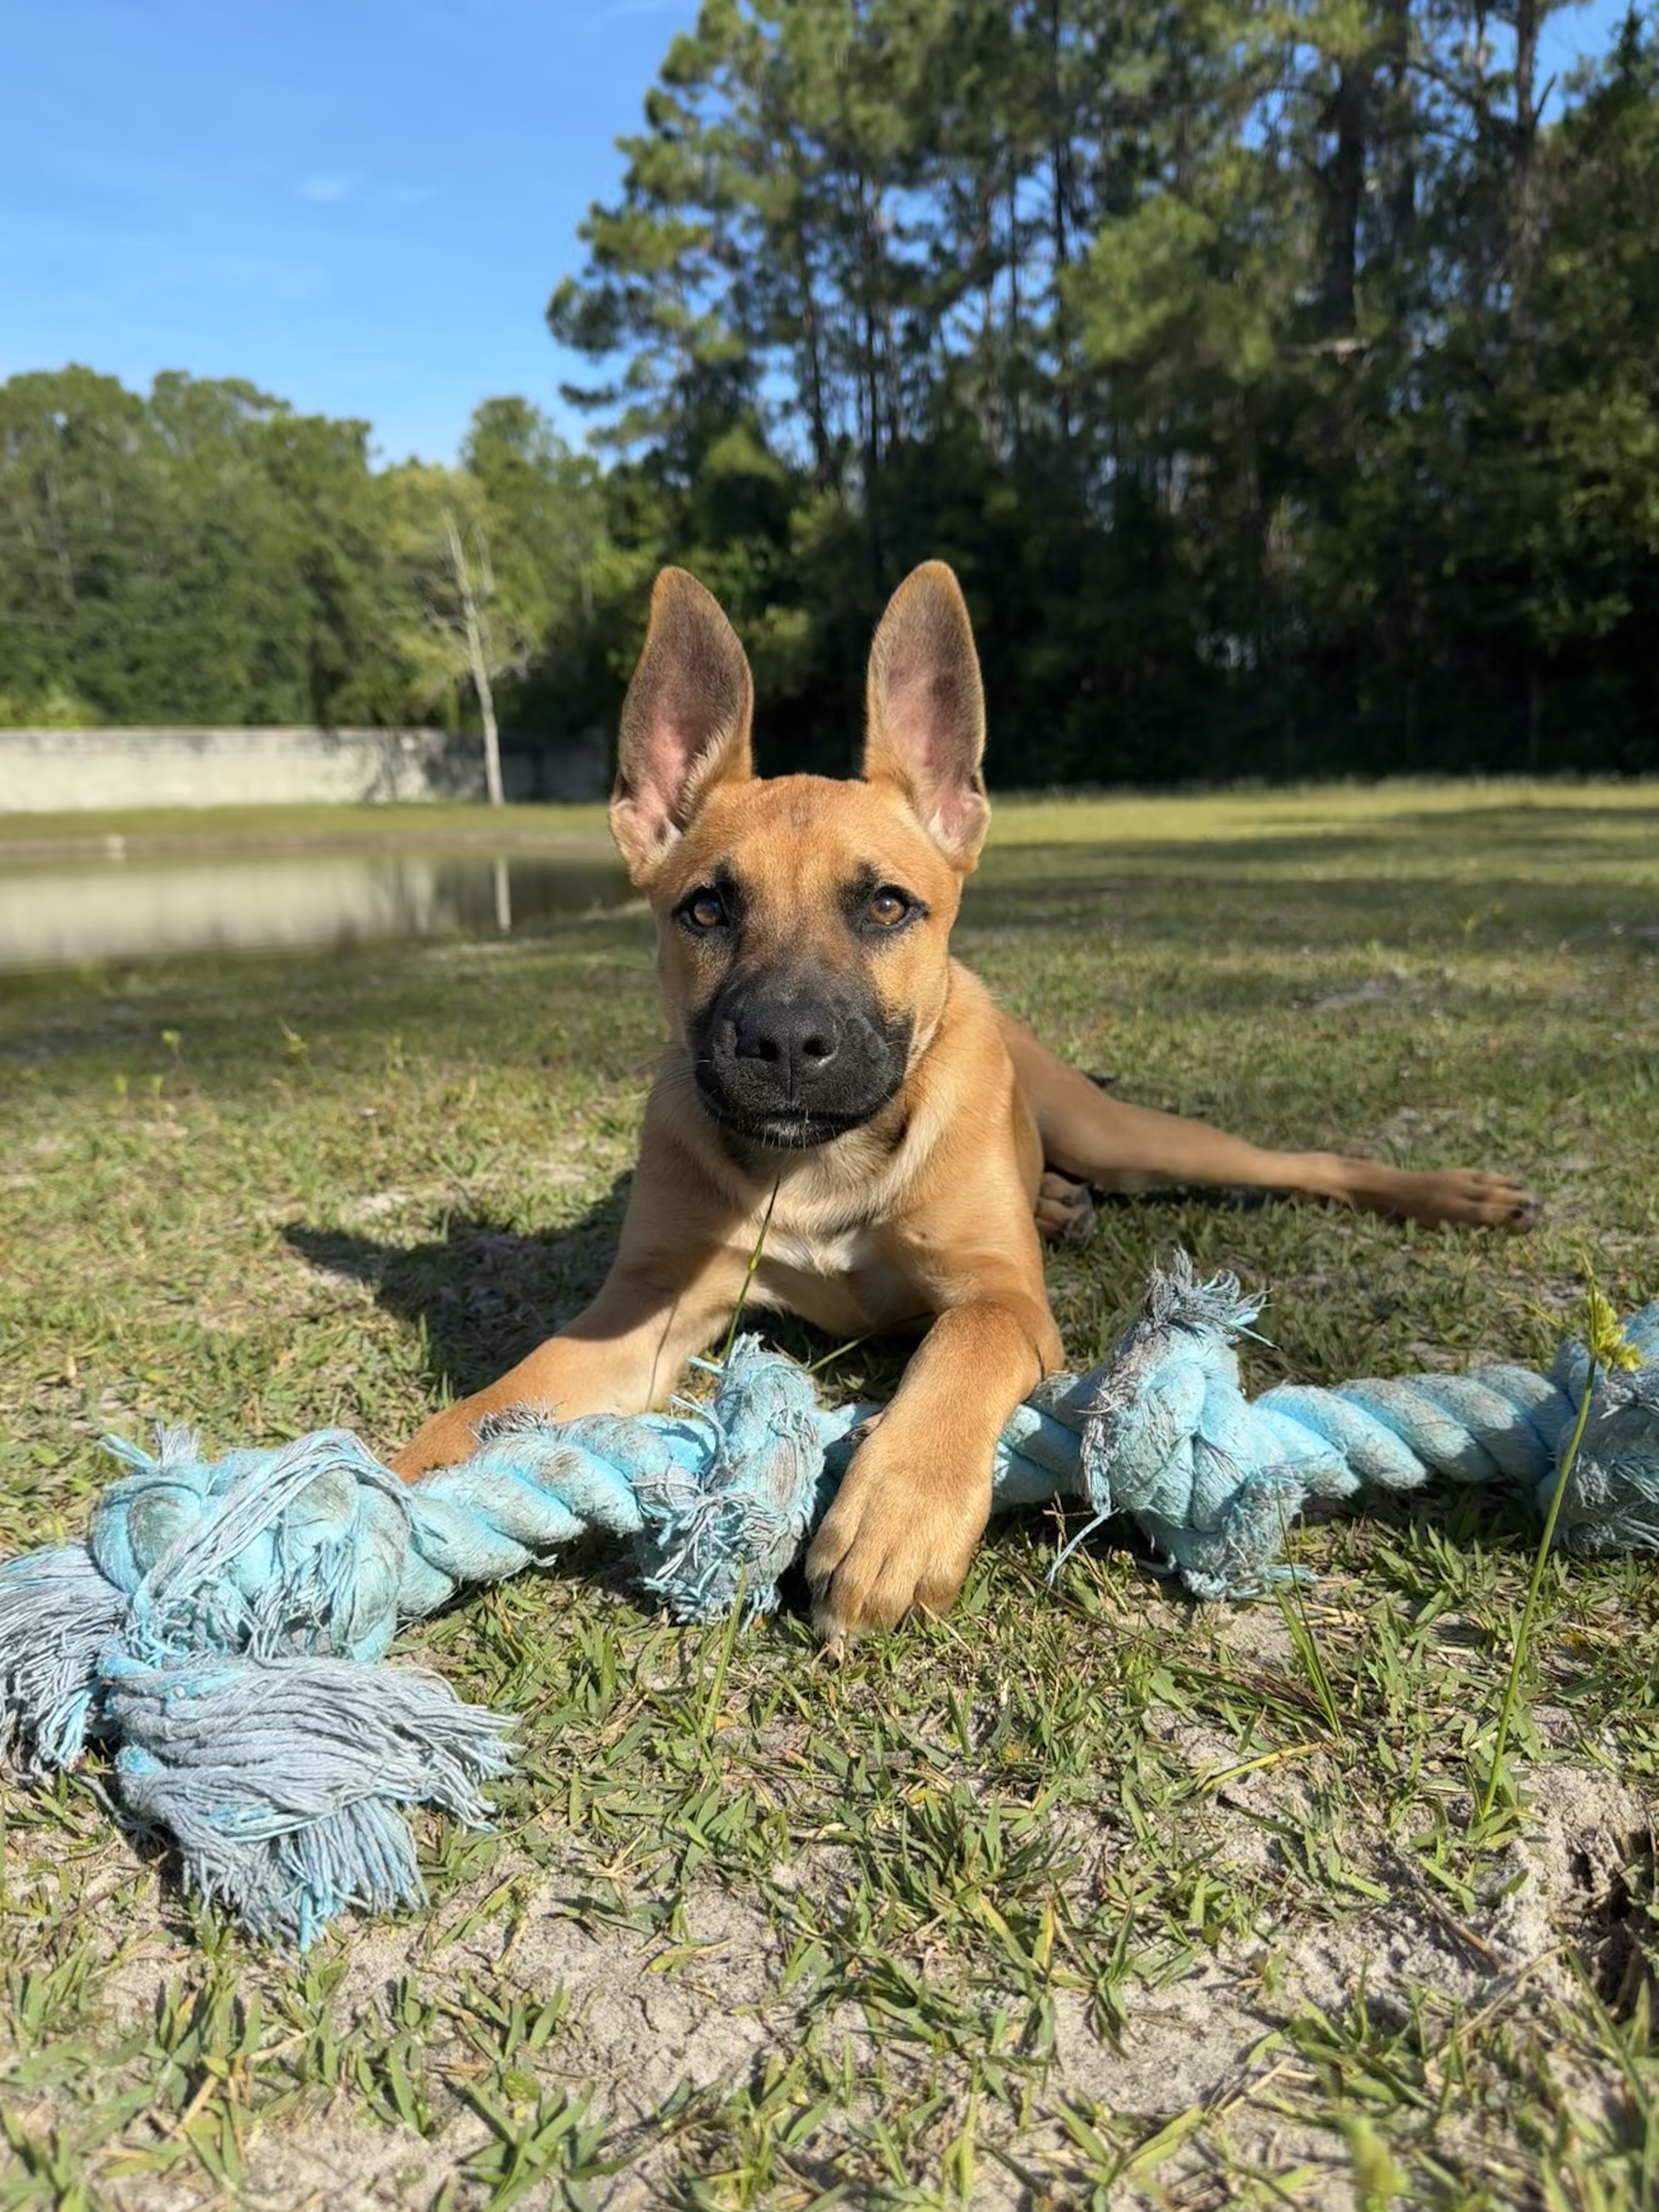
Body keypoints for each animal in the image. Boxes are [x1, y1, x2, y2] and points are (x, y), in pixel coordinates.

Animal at [396, 566, 1539, 1645]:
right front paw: (391, 1491)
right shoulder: (647, 1306)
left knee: (1295, 1166)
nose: (783, 1044)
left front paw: (898, 1511)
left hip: (1128, 1134)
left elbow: (960, 1352)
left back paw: (1457, 1194)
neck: (821, 1167)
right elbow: (502, 1396)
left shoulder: (1005, 1300)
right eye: (706, 909)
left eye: (886, 905)